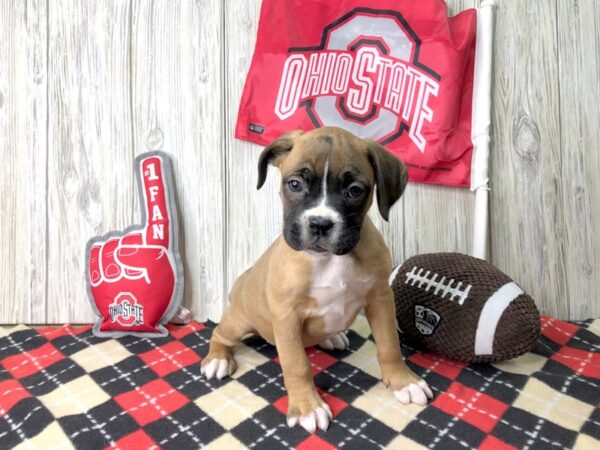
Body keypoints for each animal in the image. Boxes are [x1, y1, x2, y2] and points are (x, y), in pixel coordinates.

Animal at [202, 126, 432, 432]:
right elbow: (296, 364)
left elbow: (389, 344)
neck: (331, 259)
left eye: (354, 190)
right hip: (238, 321)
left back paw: (331, 337)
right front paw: (307, 407)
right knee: (219, 333)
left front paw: (403, 381)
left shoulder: (381, 299)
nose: (320, 224)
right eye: (295, 184)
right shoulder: (286, 315)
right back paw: (217, 359)